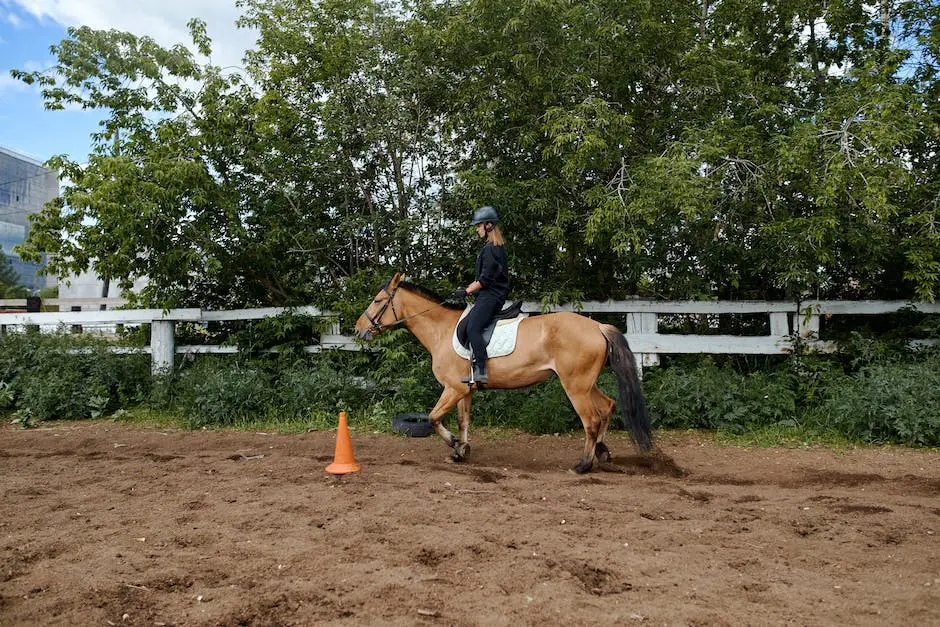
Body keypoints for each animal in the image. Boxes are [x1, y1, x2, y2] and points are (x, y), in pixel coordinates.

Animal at [354, 272, 652, 474]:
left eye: (378, 300)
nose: (358, 330)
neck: (441, 330)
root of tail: (598, 326)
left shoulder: (453, 388)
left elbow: (434, 418)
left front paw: (455, 445)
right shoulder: (464, 389)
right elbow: (463, 421)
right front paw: (461, 451)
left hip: (575, 386)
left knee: (591, 420)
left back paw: (582, 465)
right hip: (586, 384)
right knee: (607, 407)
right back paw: (602, 452)